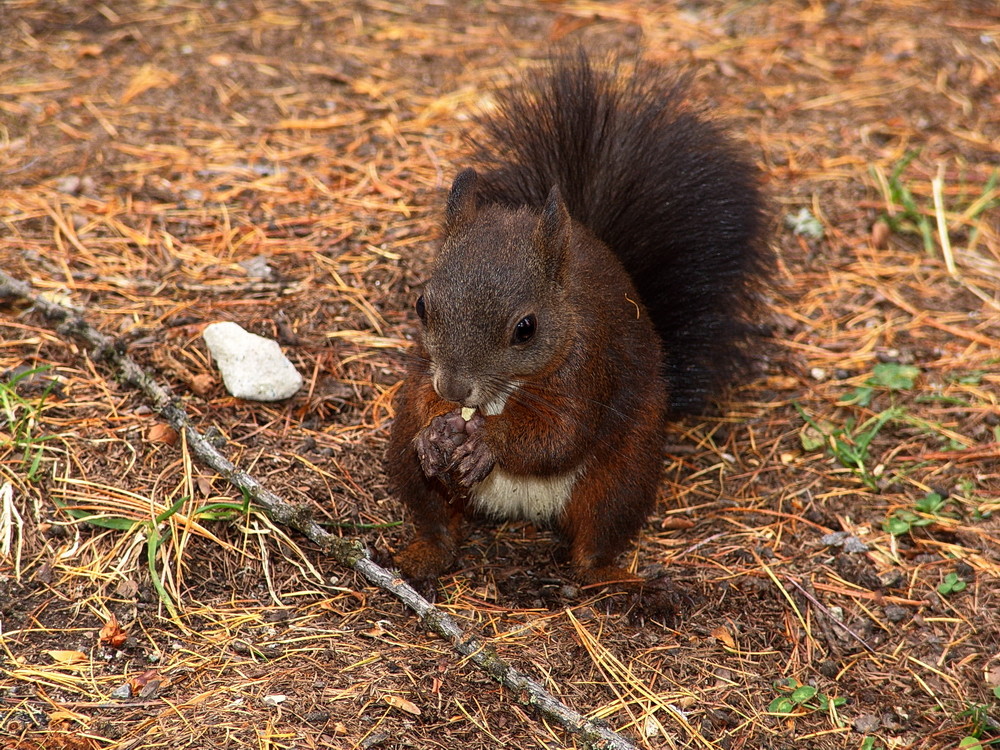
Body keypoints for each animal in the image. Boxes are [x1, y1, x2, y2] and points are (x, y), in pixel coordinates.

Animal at [386, 53, 768, 592]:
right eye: (422, 305)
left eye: (526, 328)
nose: (456, 390)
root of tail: (520, 509)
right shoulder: (424, 367)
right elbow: (422, 396)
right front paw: (434, 431)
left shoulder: (589, 368)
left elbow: (559, 436)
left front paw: (486, 442)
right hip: (404, 462)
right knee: (437, 521)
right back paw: (424, 552)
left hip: (624, 473)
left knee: (595, 538)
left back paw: (620, 582)